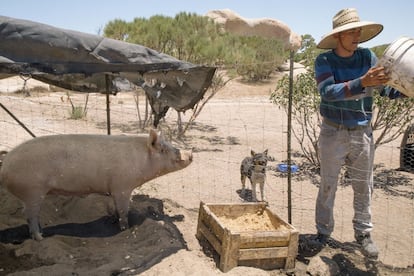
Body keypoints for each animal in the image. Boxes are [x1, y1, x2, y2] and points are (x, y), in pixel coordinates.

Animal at [0, 129, 193, 239]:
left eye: (170, 145)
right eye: (163, 150)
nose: (190, 154)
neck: (141, 162)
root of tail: (5, 167)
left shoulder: (116, 189)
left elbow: (115, 208)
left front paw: (114, 221)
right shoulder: (122, 186)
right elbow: (123, 209)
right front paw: (125, 229)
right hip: (33, 190)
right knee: (30, 215)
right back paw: (40, 237)